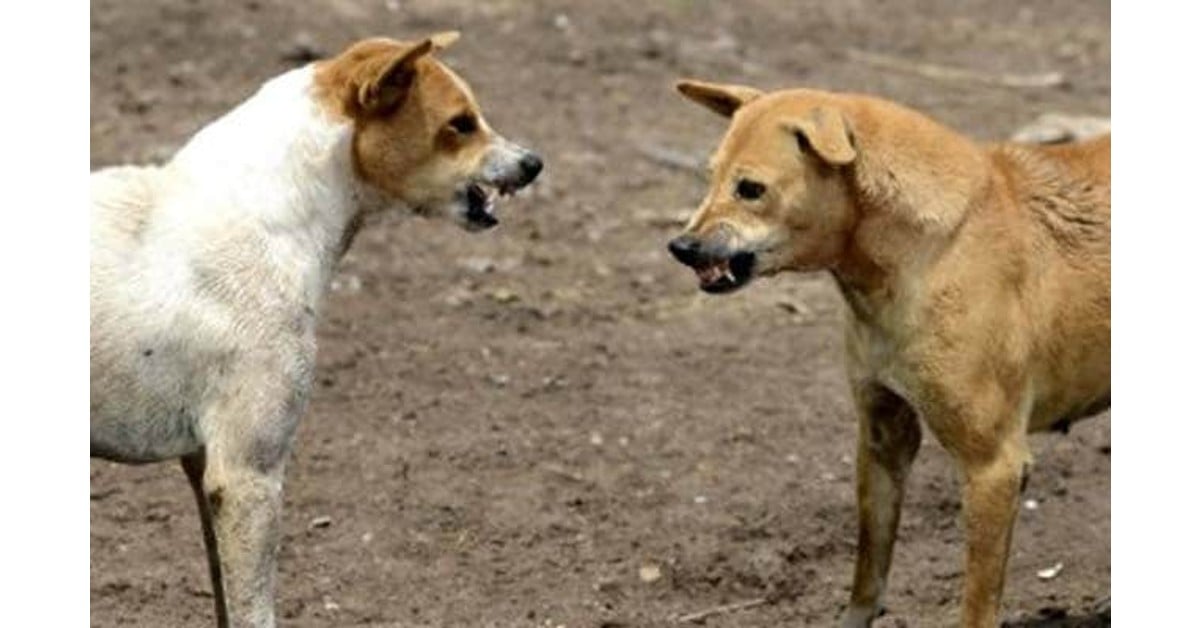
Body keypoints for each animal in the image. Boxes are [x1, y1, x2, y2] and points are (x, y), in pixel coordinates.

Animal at [667, 81, 1104, 624]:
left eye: (750, 189)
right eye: (711, 177)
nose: (680, 247)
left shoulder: (994, 466)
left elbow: (977, 604)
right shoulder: (882, 437)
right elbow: (869, 569)